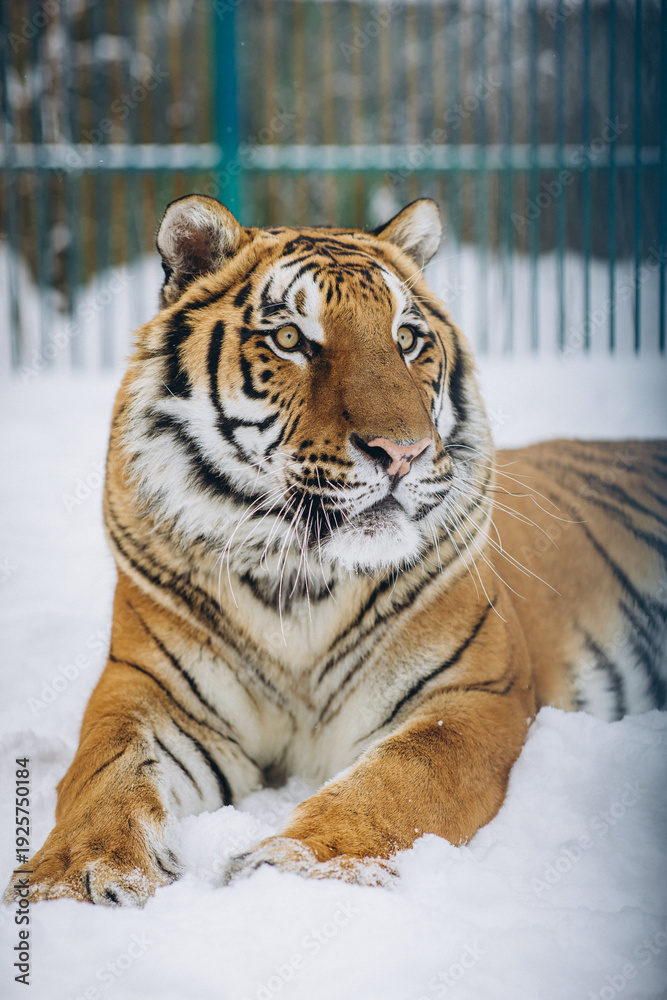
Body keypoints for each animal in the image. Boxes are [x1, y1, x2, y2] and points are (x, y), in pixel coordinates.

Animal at [5, 194, 666, 906]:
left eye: (408, 339)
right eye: (291, 339)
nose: (403, 453)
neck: (296, 579)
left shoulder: (475, 694)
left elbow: (405, 777)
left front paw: (291, 867)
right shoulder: (148, 690)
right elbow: (106, 769)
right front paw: (83, 875)